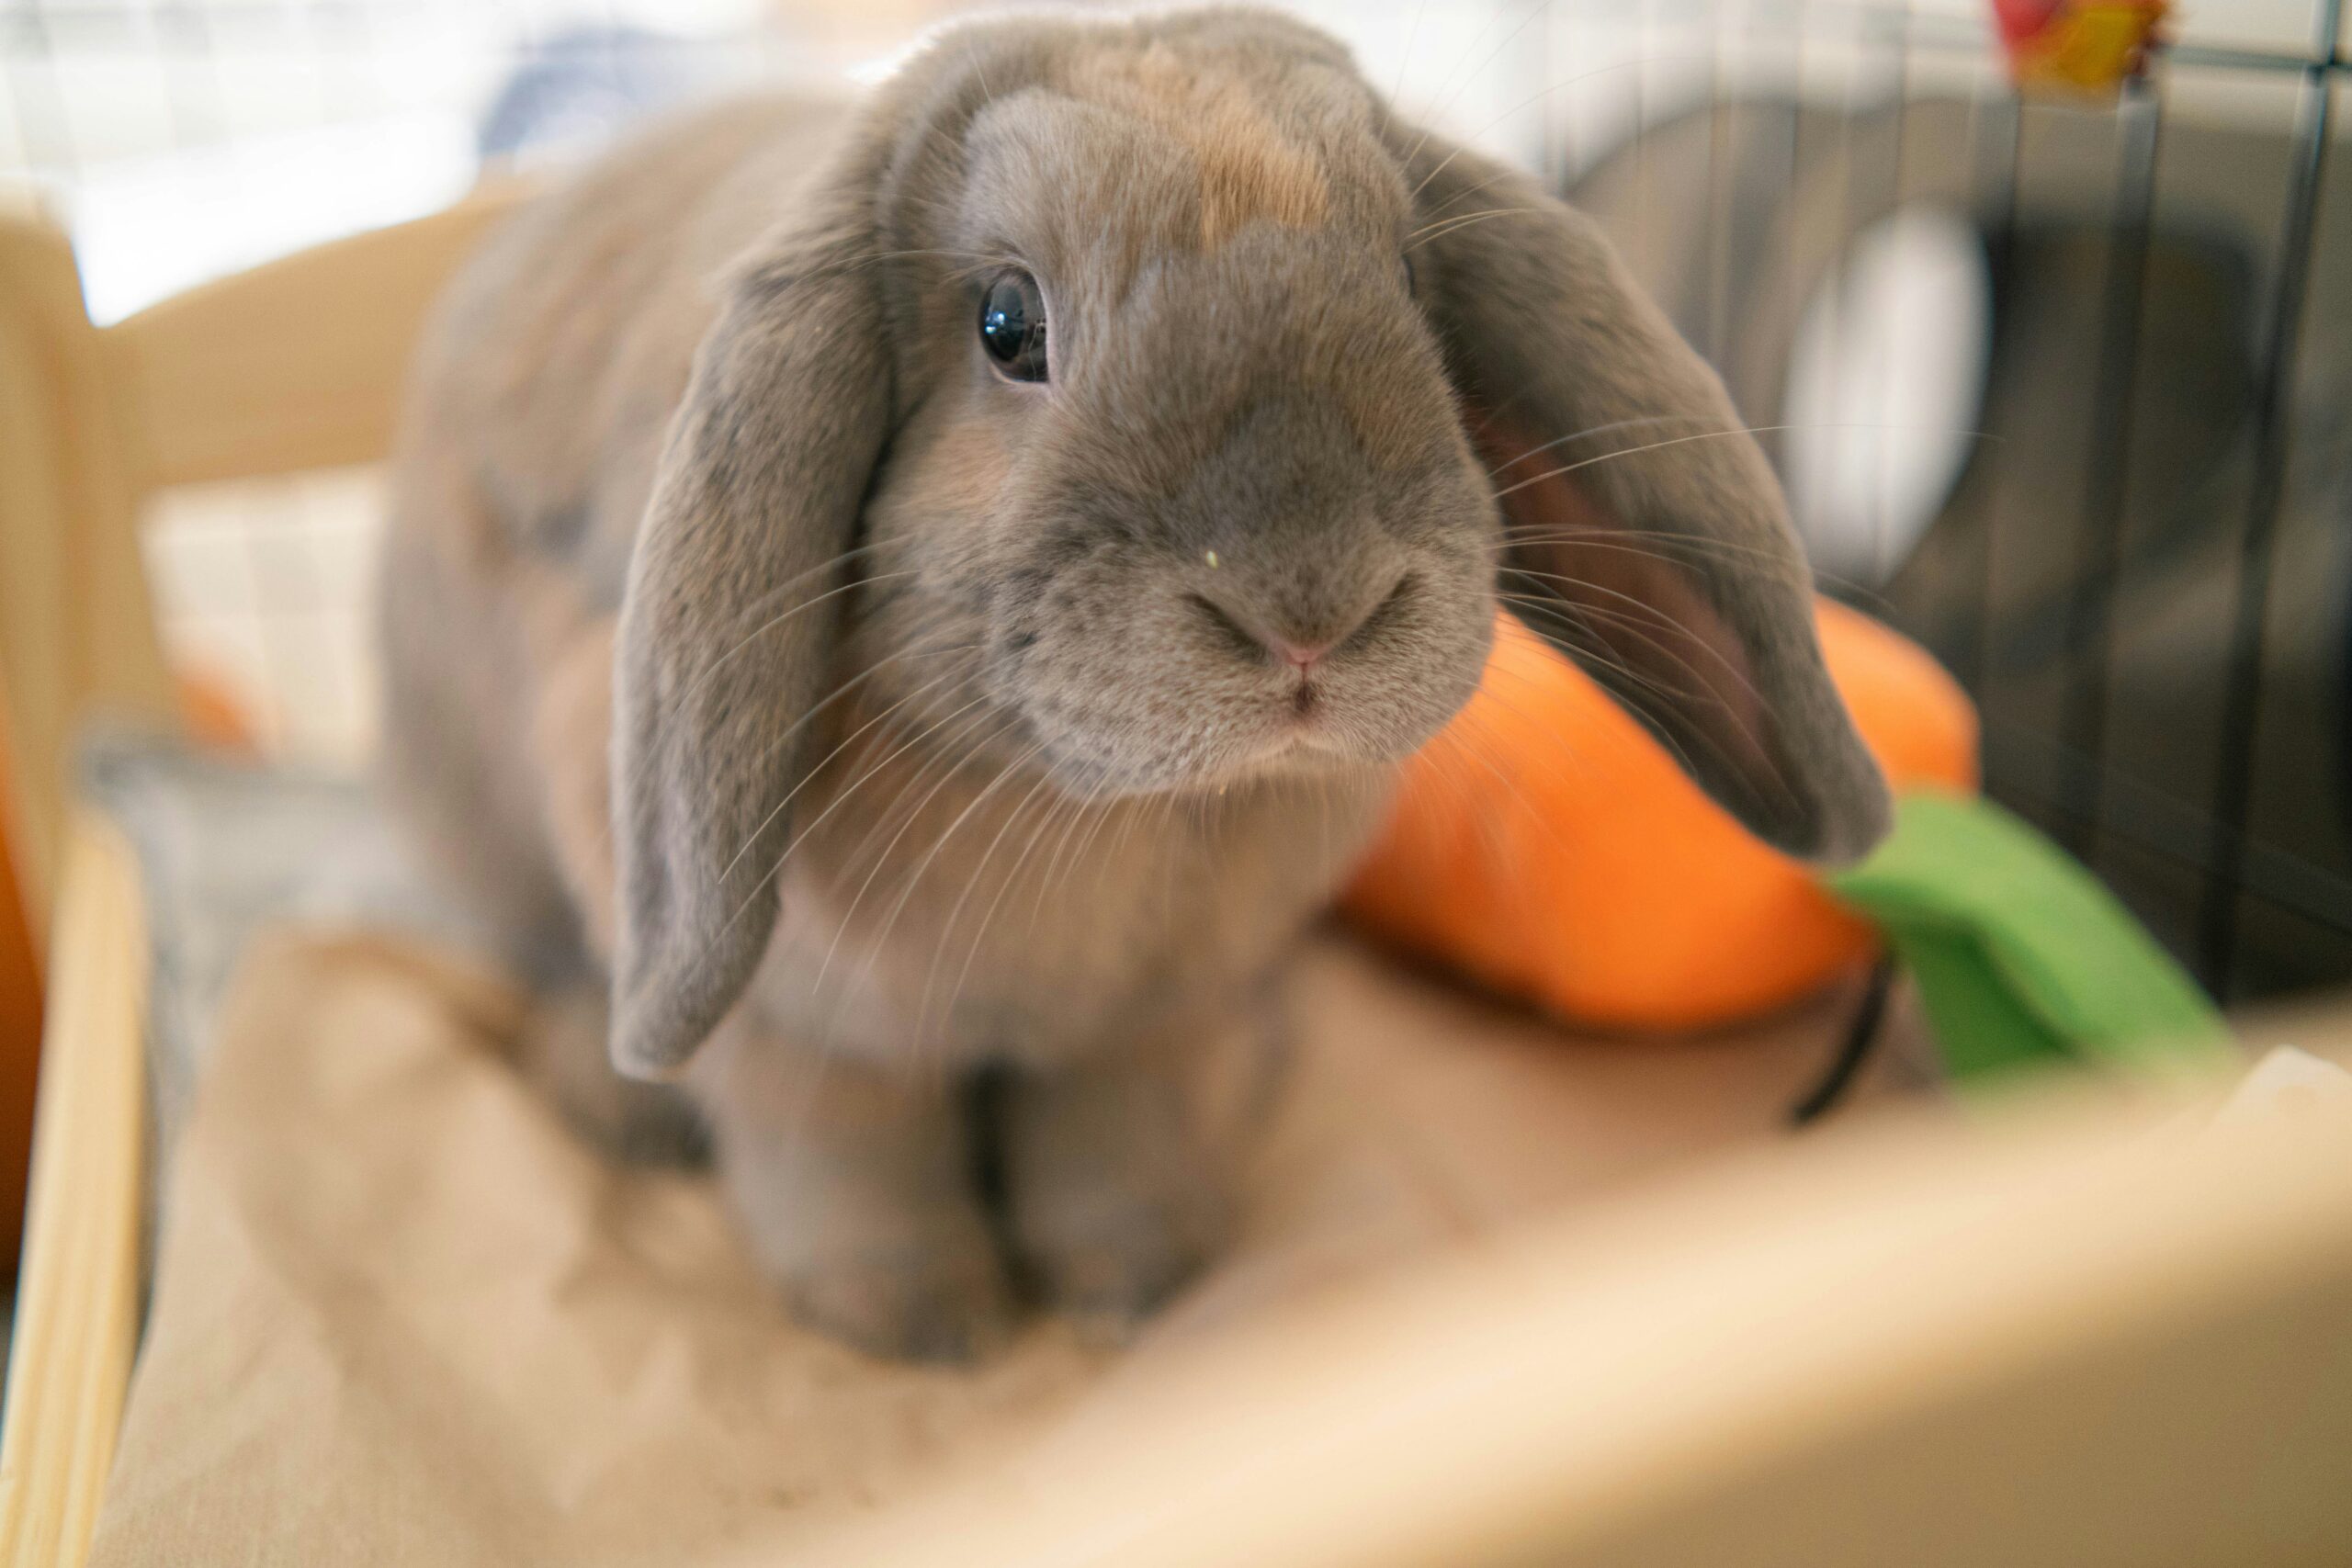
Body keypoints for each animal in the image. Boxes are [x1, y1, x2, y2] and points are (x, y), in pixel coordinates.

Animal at [378, 6, 1890, 1361]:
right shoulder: (801, 1036)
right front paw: (921, 1325)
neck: (1106, 814)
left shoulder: (1152, 1023)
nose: (1311, 609)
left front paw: (1133, 1283)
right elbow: (852, 1160)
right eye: (1005, 322)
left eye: (1414, 285)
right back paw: (616, 1100)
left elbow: (1110, 1138)